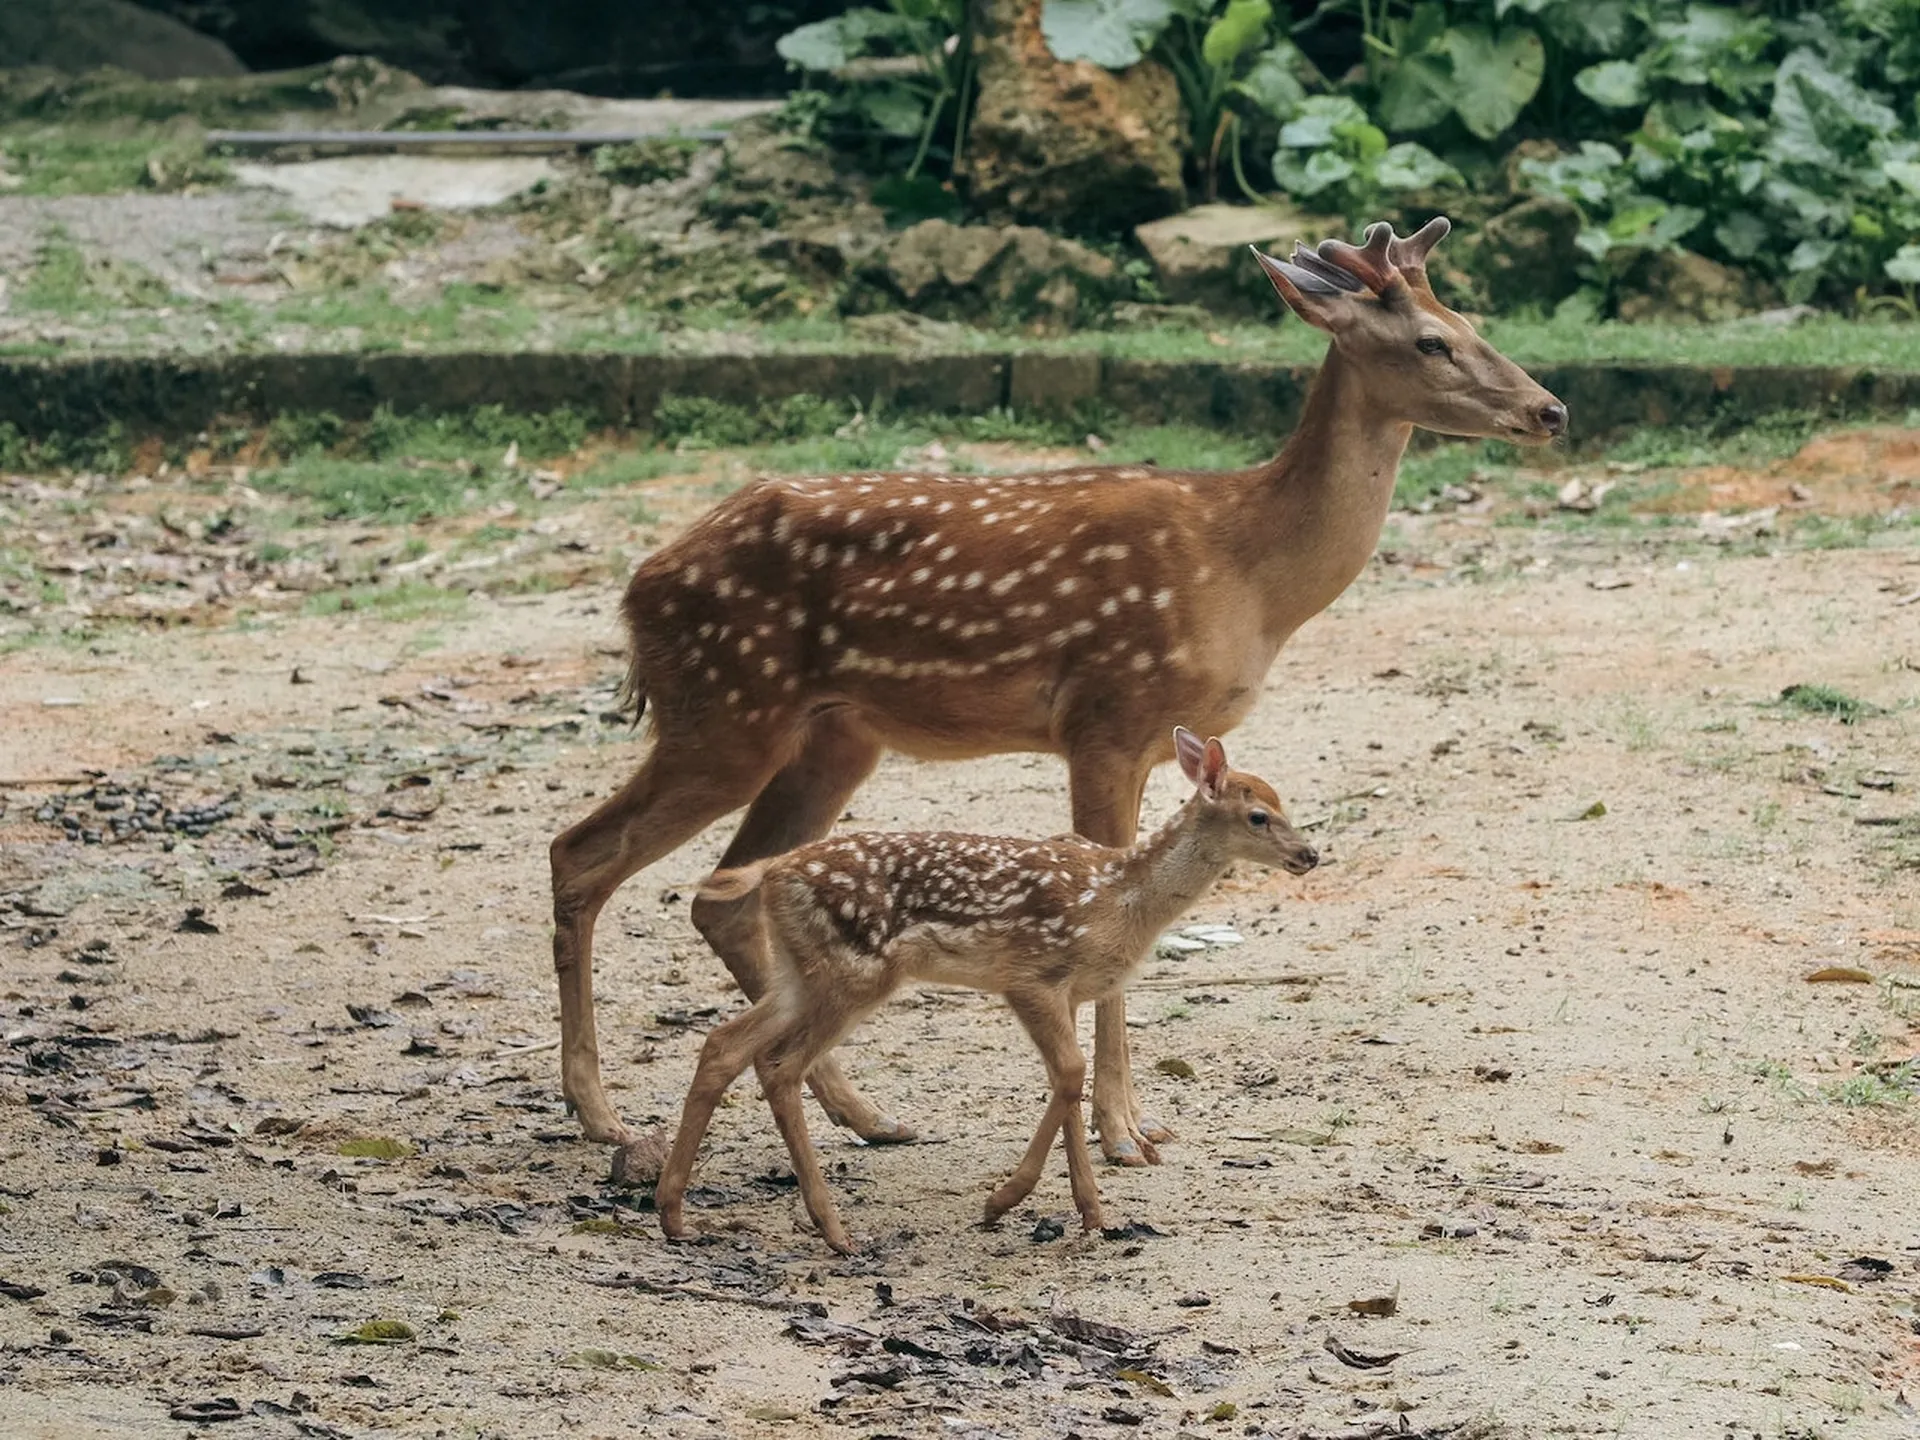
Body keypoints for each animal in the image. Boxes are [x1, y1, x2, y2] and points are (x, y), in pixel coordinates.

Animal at [549, 222, 1566, 1175]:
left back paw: (866, 1113)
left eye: (1473, 321)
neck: (1250, 571)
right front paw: (1124, 1133)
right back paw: (603, 1116)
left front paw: (1135, 1125)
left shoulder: (1154, 740)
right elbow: (1109, 918)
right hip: (725, 706)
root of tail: (639, 585)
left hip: (830, 736)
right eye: (1433, 341)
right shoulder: (1105, 716)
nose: (1550, 408)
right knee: (581, 854)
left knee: (722, 894)